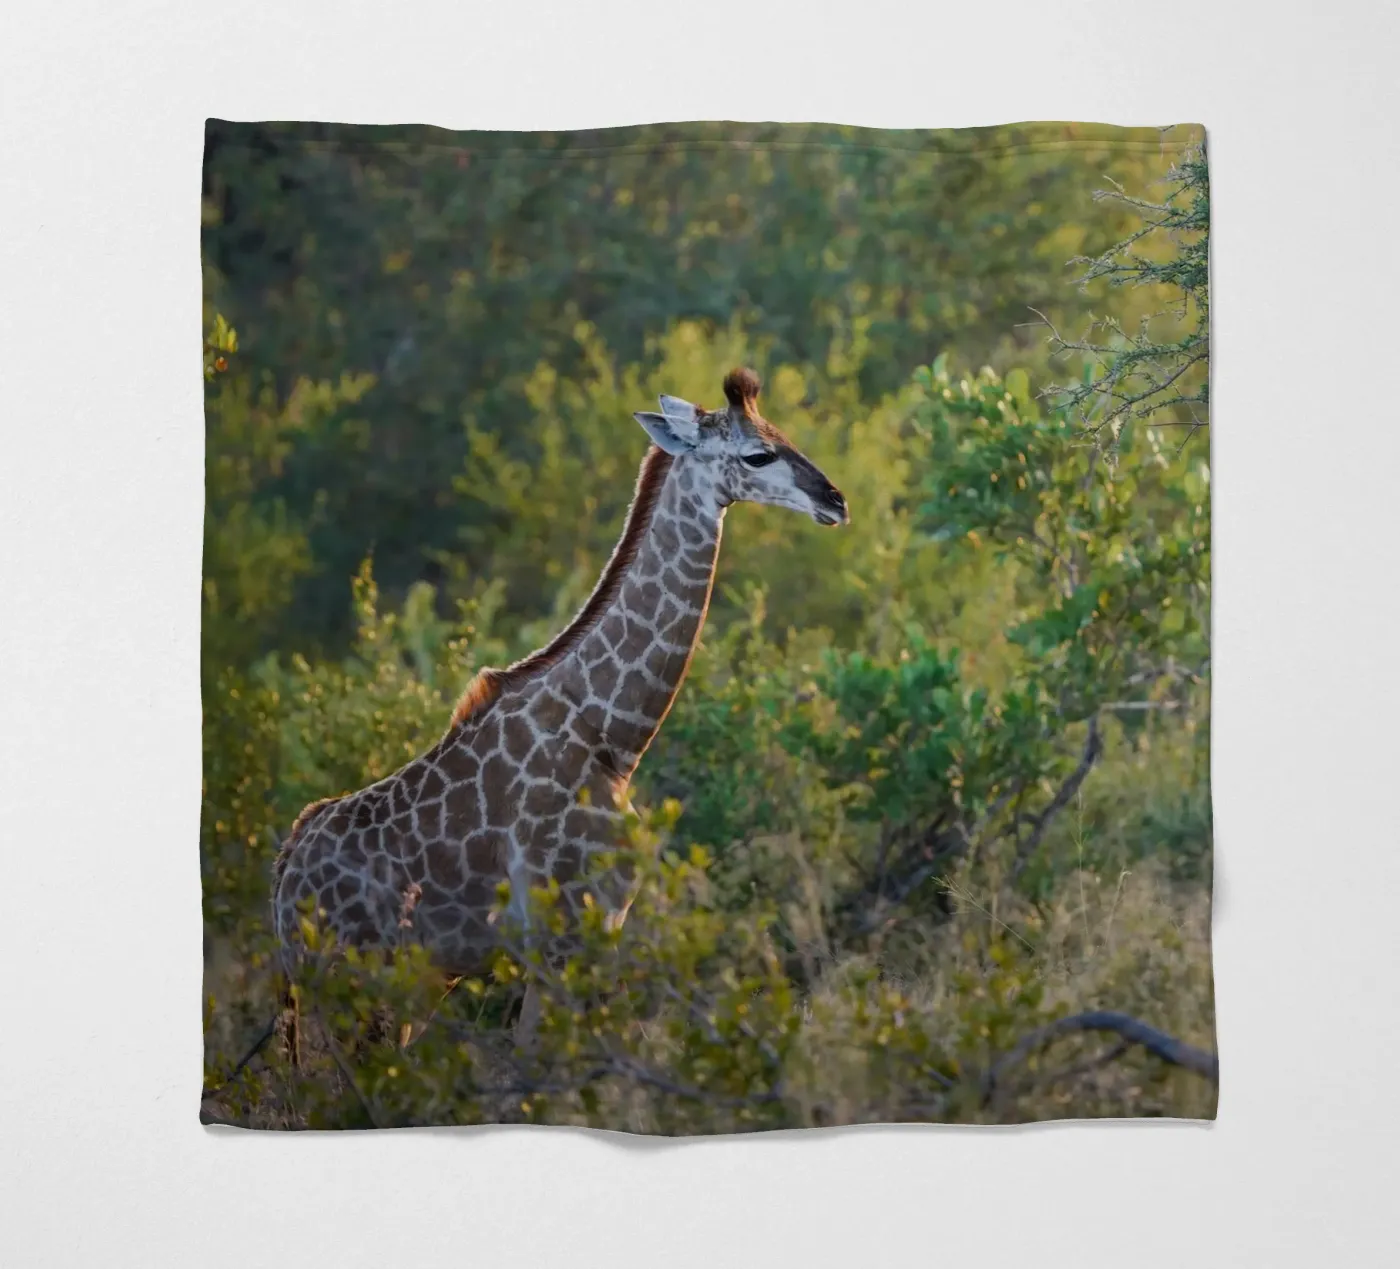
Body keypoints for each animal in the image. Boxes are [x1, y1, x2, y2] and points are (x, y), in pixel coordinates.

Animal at [271, 368, 848, 1035]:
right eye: (758, 454)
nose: (836, 500)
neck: (611, 733)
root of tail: (281, 886)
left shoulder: (601, 927)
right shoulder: (559, 935)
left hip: (400, 988)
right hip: (344, 987)